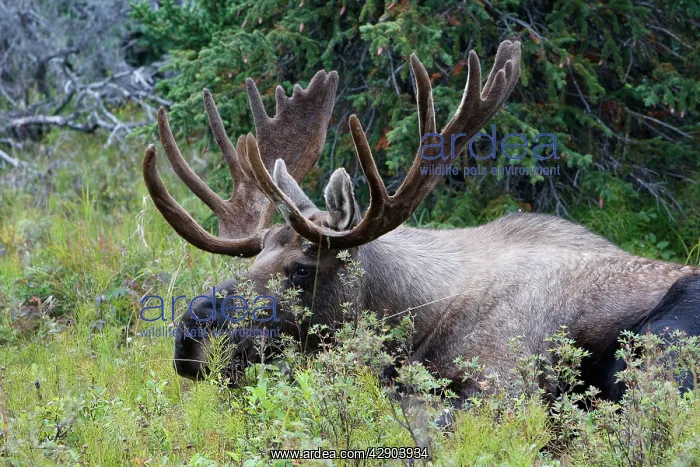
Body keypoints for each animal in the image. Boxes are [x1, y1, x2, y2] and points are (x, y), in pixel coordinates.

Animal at [142, 40, 700, 404]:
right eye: (256, 255)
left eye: (303, 268)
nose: (190, 333)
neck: (416, 322)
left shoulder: (502, 386)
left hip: (662, 344)